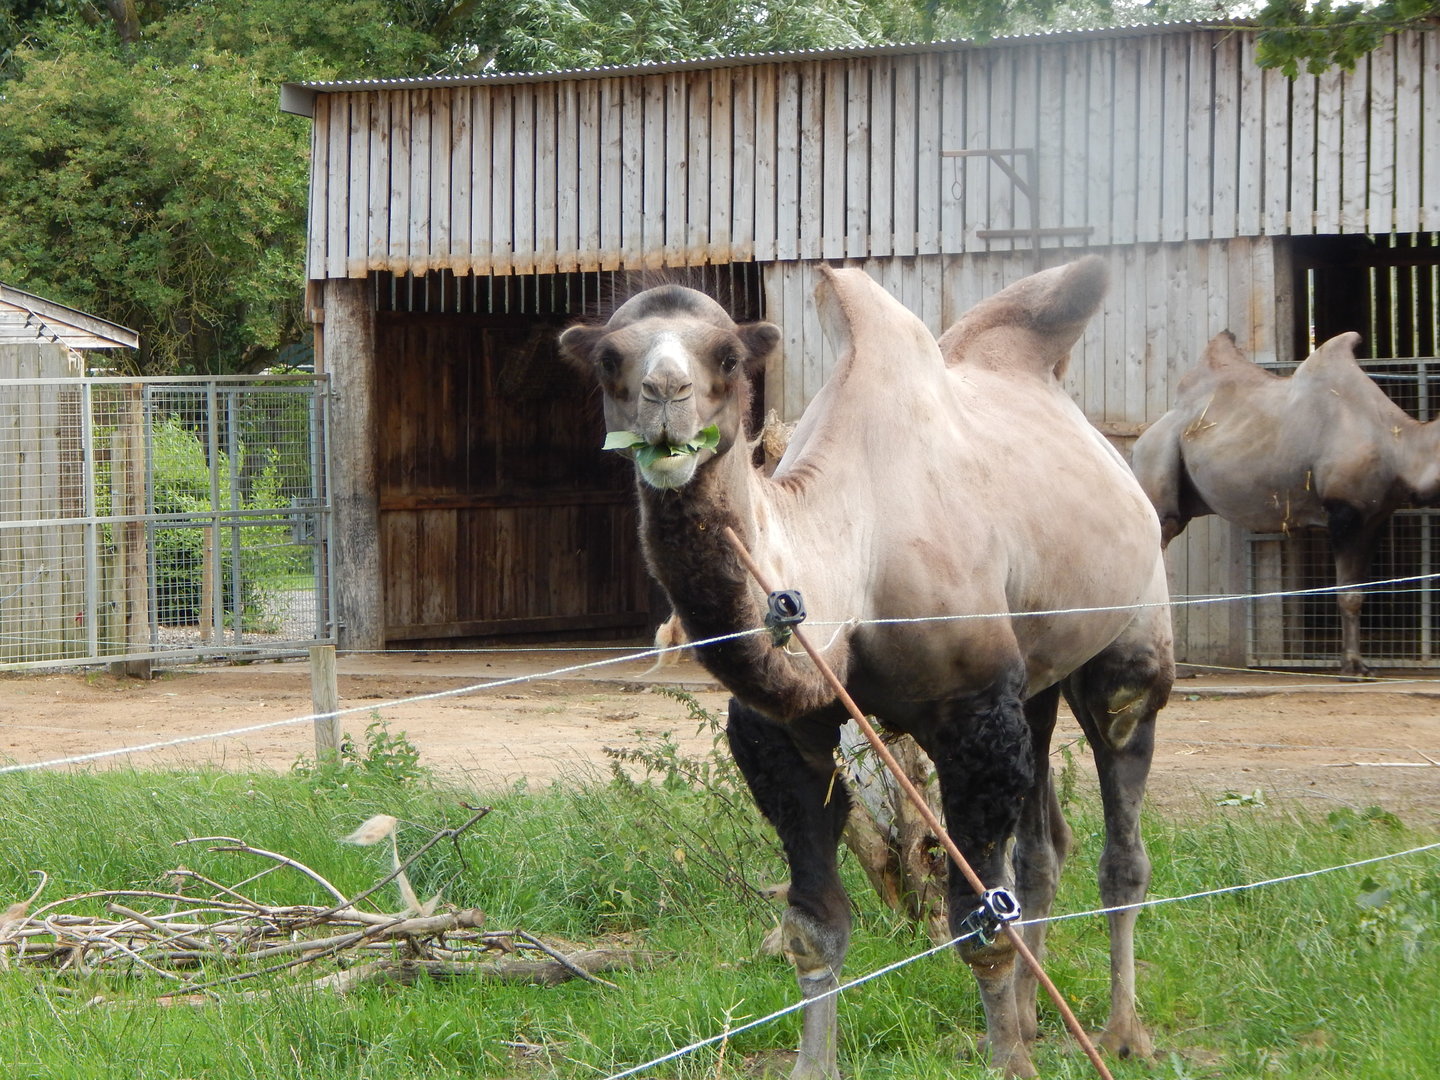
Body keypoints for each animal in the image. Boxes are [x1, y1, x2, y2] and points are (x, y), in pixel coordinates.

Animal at [559, 258, 1173, 1079]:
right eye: (608, 359)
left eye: (727, 356)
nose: (665, 400)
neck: (855, 552)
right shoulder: (781, 735)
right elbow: (815, 926)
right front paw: (815, 1065)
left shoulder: (975, 712)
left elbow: (981, 923)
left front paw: (1008, 1063)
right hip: (1036, 678)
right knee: (1044, 847)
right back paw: (1035, 1016)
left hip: (1132, 640)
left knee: (1120, 830)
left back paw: (1120, 1033)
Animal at [1130, 330, 1440, 677]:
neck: (1399, 445)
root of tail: (1143, 436)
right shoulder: (1343, 512)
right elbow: (1347, 594)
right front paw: (1353, 667)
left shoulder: (1375, 516)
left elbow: (1360, 591)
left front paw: (1357, 663)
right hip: (1157, 458)